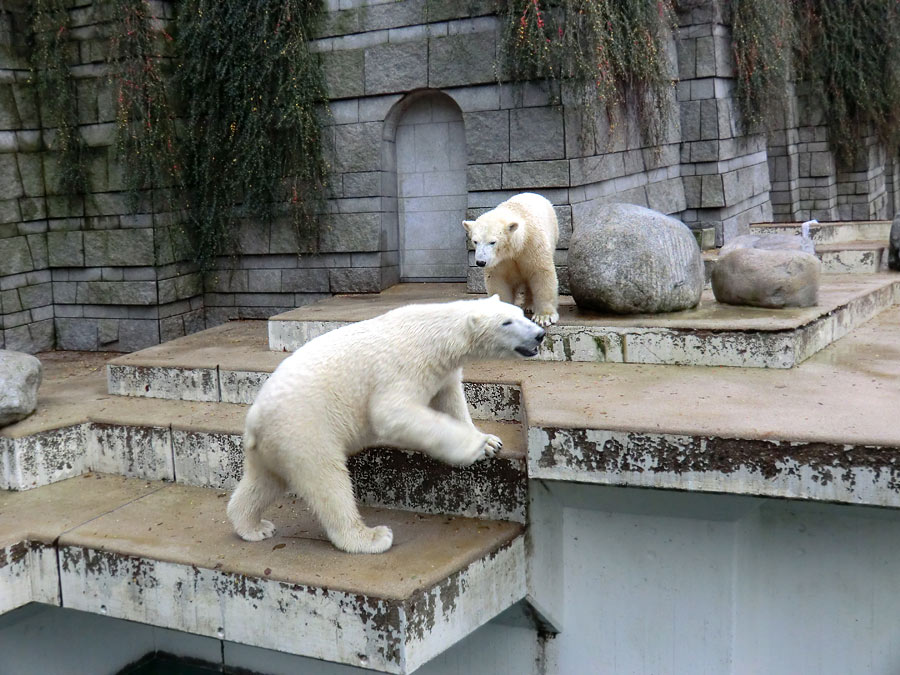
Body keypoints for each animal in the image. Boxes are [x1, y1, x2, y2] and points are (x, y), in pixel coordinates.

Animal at [229, 296, 544, 556]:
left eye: (521, 313)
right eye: (506, 322)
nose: (540, 334)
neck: (435, 336)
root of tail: (254, 420)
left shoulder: (443, 372)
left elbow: (451, 399)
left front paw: (489, 441)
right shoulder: (404, 368)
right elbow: (390, 413)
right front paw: (472, 446)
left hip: (275, 443)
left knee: (264, 482)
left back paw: (255, 527)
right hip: (305, 428)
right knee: (327, 482)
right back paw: (370, 537)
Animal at [468, 193, 560, 328]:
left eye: (492, 242)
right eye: (475, 241)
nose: (480, 262)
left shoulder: (533, 246)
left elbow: (541, 274)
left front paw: (544, 317)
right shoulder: (499, 261)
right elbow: (497, 281)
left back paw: (529, 305)